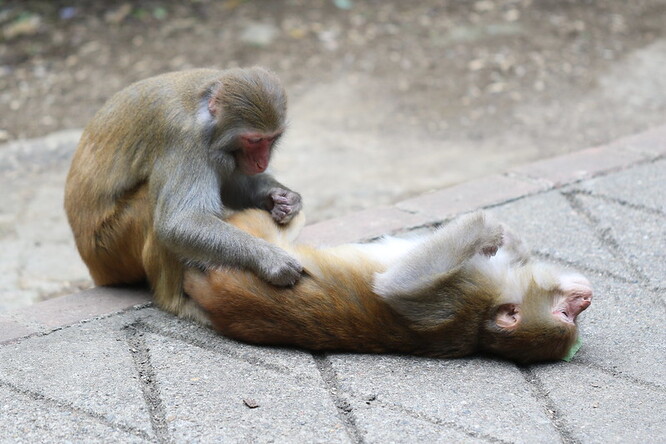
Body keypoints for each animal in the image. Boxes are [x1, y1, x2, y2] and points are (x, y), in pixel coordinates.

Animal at [63, 67, 302, 322]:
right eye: (254, 140)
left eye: (272, 138)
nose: (262, 162)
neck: (207, 118)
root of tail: (92, 265)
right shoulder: (185, 140)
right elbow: (178, 223)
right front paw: (271, 259)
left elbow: (232, 186)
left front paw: (285, 200)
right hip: (108, 252)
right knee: (150, 207)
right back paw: (176, 302)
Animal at [183, 210, 592, 362]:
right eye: (567, 314)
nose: (586, 300)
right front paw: (505, 238)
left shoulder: (462, 298)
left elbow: (396, 287)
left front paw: (486, 227)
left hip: (250, 238)